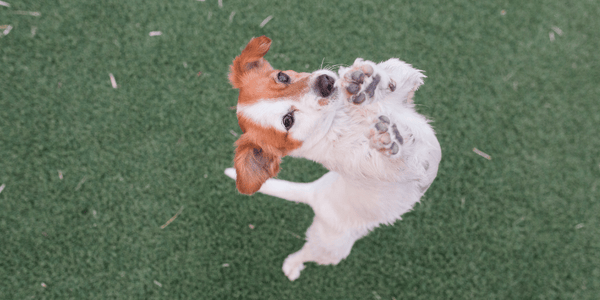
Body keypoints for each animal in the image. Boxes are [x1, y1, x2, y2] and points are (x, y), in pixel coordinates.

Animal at [225, 35, 440, 282]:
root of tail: (314, 192)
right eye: (287, 121)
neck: (341, 116)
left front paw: (368, 81)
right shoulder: (401, 170)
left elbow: (398, 71)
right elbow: (400, 157)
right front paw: (390, 139)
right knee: (307, 251)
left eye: (282, 76)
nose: (325, 82)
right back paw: (292, 265)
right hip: (329, 248)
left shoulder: (405, 94)